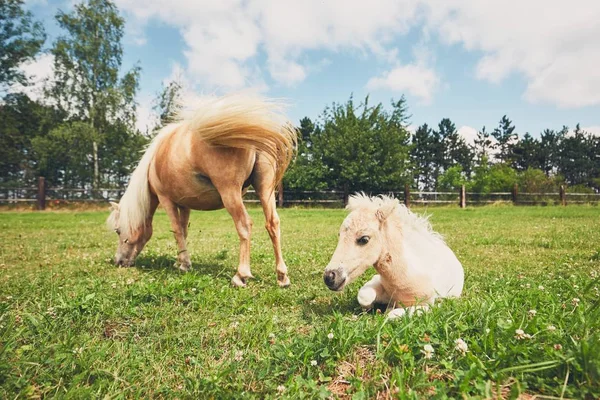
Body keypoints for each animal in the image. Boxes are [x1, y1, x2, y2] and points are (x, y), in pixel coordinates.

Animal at [107, 94, 298, 288]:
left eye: (118, 231)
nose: (118, 261)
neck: (153, 163)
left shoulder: (166, 199)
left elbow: (176, 230)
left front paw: (184, 264)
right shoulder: (184, 204)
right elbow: (183, 231)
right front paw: (180, 261)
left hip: (230, 193)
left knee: (244, 224)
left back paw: (240, 275)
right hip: (265, 189)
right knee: (272, 224)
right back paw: (282, 276)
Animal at [324, 194, 464, 318]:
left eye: (364, 239)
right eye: (340, 235)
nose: (329, 277)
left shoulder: (432, 305)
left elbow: (392, 314)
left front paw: (388, 310)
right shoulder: (376, 280)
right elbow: (364, 297)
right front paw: (370, 308)